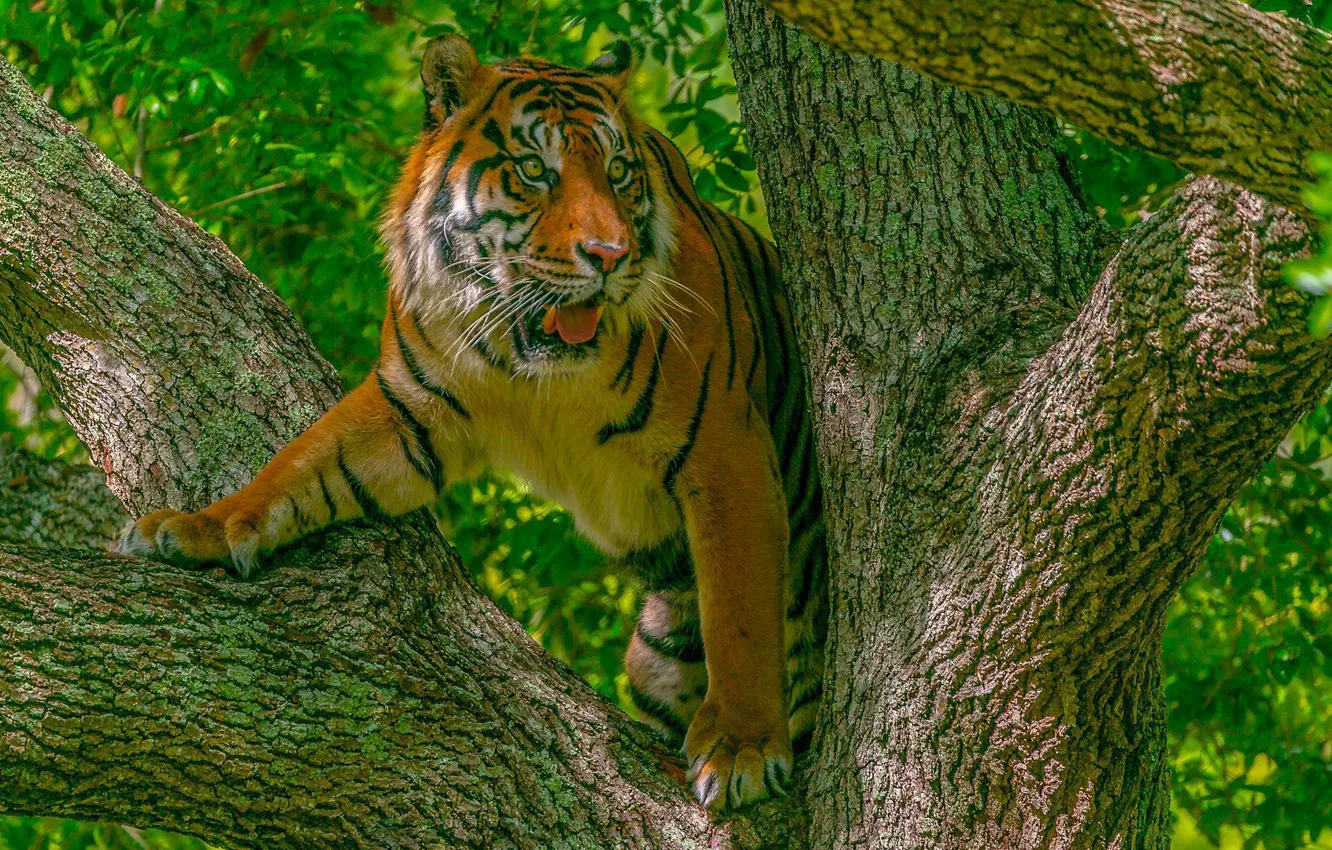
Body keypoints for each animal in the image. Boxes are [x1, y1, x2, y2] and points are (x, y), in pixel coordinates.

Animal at [119, 35, 828, 811]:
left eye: (618, 173)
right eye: (534, 171)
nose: (609, 257)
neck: (535, 364)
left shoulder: (726, 449)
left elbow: (740, 612)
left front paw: (740, 748)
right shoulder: (407, 410)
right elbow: (299, 462)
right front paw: (202, 529)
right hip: (656, 655)